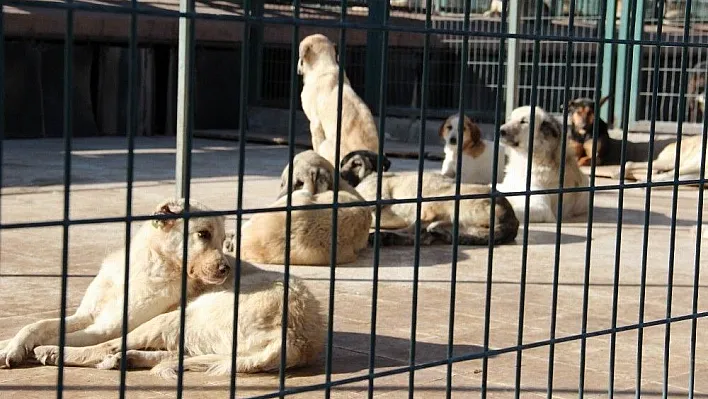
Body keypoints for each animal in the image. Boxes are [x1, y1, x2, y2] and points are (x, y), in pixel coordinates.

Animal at [0, 199, 228, 368]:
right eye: (203, 234)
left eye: (224, 240)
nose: (226, 269)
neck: (145, 267)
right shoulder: (85, 316)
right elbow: (36, 325)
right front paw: (11, 346)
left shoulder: (105, 329)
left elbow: (55, 337)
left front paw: (18, 349)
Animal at [30, 258, 324, 380]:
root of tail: (294, 336)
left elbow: (98, 338)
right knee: (174, 354)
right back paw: (127, 359)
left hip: (183, 316)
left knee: (109, 346)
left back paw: (52, 351)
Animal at [340, 151, 516, 247]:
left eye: (357, 164)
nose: (340, 175)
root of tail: (512, 219)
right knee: (423, 236)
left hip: (434, 202)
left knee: (417, 231)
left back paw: (383, 237)